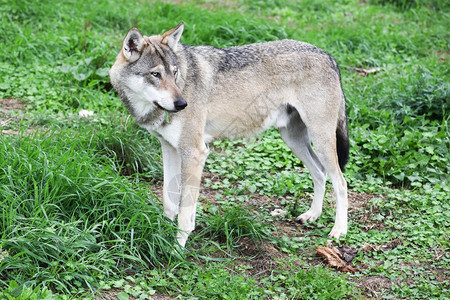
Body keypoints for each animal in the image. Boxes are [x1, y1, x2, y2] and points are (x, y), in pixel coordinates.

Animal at [110, 22, 352, 248]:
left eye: (174, 72)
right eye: (155, 74)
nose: (182, 104)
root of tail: (329, 56)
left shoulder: (195, 153)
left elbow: (185, 214)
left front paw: (177, 249)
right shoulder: (169, 149)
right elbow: (169, 202)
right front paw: (162, 235)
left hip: (320, 139)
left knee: (341, 182)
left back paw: (339, 231)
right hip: (293, 140)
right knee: (319, 173)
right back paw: (312, 215)